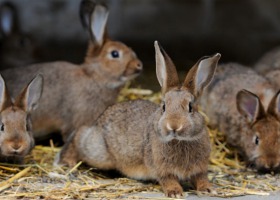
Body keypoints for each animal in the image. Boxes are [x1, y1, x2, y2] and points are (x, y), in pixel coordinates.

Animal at [57, 41, 221, 198]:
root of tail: (99, 120)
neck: (180, 141)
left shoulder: (200, 168)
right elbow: (168, 180)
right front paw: (175, 192)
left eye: (190, 107)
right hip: (99, 153)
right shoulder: (161, 168)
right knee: (79, 135)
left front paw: (208, 189)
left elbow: (201, 178)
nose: (173, 126)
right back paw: (67, 160)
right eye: (163, 107)